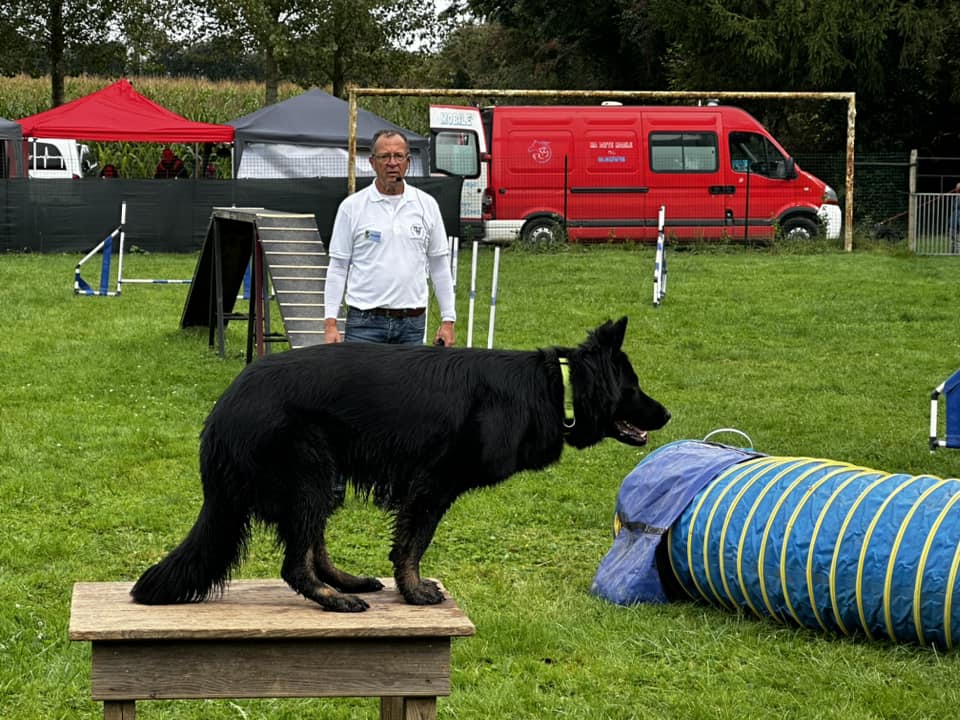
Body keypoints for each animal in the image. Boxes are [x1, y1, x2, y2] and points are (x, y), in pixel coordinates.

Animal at [131, 318, 672, 612]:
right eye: (634, 387)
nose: (668, 414)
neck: (555, 387)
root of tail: (221, 413)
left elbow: (409, 542)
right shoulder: (433, 484)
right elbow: (414, 543)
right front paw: (413, 591)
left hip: (325, 480)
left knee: (312, 547)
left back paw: (345, 581)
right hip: (310, 473)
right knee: (294, 563)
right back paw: (334, 599)